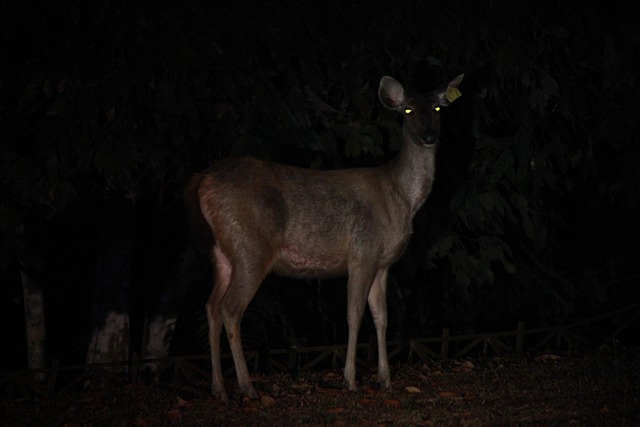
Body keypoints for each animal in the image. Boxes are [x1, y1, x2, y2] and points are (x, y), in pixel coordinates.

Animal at [185, 73, 464, 401]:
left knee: (211, 307)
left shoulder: (383, 263)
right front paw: (350, 379)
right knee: (230, 309)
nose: (429, 136)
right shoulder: (363, 252)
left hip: (222, 252)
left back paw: (218, 388)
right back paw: (247, 387)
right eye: (408, 110)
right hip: (250, 248)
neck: (402, 199)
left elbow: (382, 317)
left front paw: (385, 379)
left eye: (437, 108)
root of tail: (202, 180)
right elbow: (354, 314)